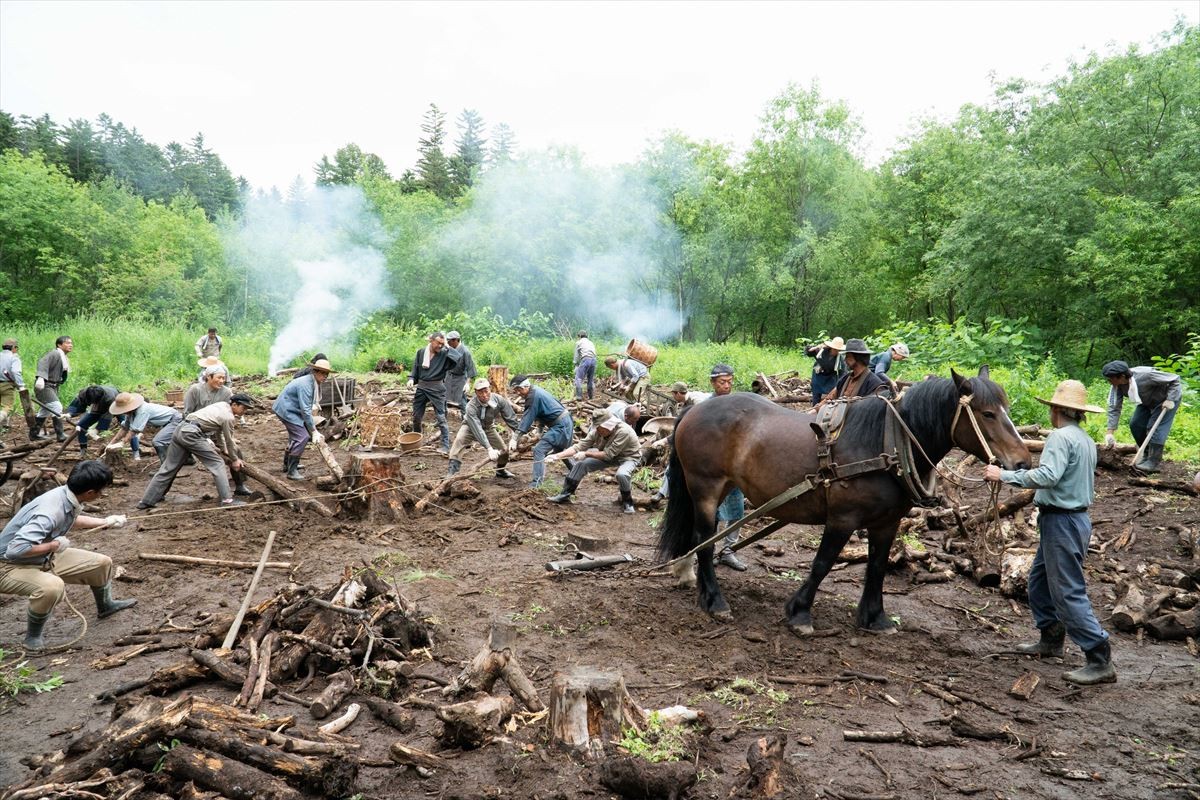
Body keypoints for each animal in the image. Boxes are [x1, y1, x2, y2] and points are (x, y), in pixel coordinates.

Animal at [657, 367, 1032, 633]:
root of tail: (692, 410)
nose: (1022, 462)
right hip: (705, 487)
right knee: (705, 542)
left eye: (1007, 408)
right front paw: (800, 613)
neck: (886, 443)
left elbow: (877, 567)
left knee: (699, 540)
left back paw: (694, 582)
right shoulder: (842, 519)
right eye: (987, 414)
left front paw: (875, 618)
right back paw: (715, 601)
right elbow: (822, 563)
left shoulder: (887, 523)